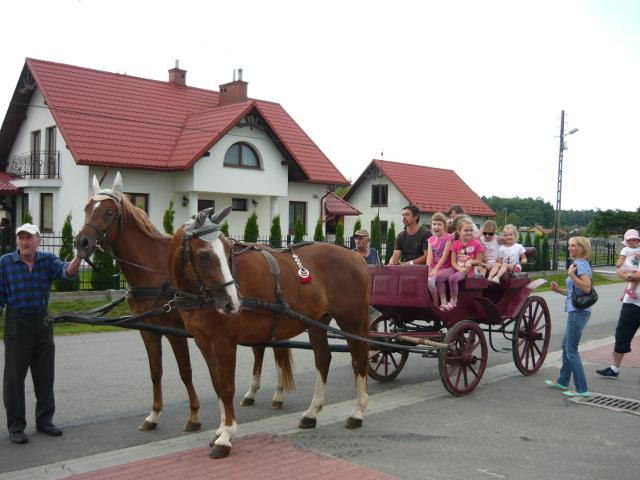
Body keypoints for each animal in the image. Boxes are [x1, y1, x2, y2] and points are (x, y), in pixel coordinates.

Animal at [73, 172, 294, 433]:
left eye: (108, 212)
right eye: (87, 209)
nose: (81, 242)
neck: (156, 268)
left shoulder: (175, 331)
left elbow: (185, 371)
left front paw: (194, 416)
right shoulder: (149, 331)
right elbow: (155, 372)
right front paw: (154, 414)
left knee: (277, 350)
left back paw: (277, 395)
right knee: (260, 349)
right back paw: (251, 392)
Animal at [168, 206, 370, 458]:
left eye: (227, 251)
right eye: (204, 255)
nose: (232, 303)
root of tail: (356, 256)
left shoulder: (225, 343)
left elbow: (227, 387)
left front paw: (226, 436)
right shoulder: (204, 343)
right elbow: (217, 385)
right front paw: (220, 430)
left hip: (351, 322)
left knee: (359, 361)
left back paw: (357, 413)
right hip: (317, 323)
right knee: (323, 360)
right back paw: (312, 413)